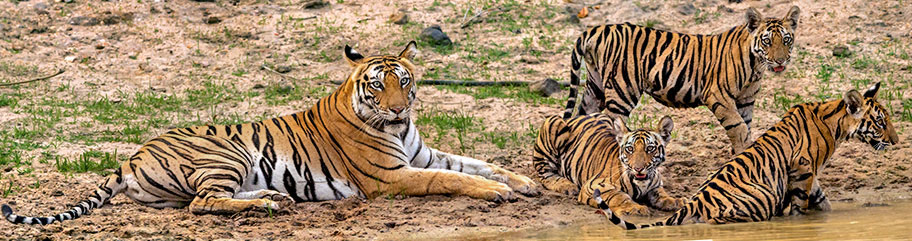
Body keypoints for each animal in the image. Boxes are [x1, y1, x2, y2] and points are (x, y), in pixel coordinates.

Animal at [1, 41, 540, 226]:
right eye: (376, 84)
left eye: (403, 81)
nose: (397, 109)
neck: (400, 128)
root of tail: (131, 156)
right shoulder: (392, 176)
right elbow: (455, 178)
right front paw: (495, 193)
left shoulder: (421, 156)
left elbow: (477, 163)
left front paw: (523, 182)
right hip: (227, 152)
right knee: (202, 204)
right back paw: (266, 206)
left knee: (203, 200)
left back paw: (273, 199)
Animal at [592, 83, 896, 230]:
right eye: (881, 122)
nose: (896, 140)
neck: (835, 123)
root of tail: (693, 203)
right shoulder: (801, 169)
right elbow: (801, 206)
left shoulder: (810, 172)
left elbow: (823, 201)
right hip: (758, 197)